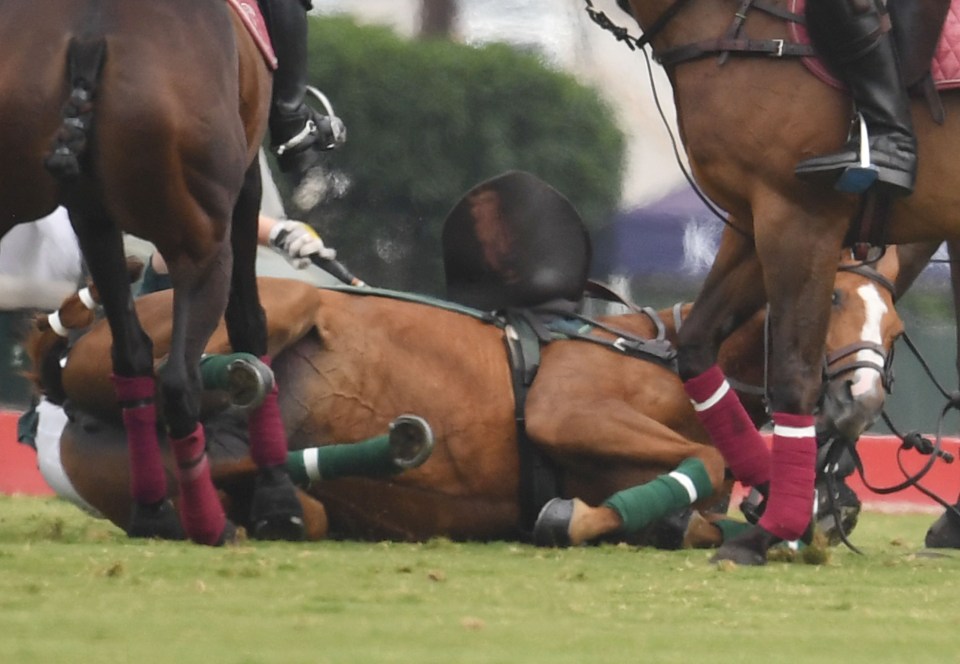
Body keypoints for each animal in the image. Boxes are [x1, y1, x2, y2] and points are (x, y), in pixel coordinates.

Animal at [0, 0, 300, 544]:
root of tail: (91, 37)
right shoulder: (244, 190)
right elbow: (249, 326)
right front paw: (277, 498)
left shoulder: (92, 217)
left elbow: (130, 353)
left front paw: (151, 509)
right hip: (203, 247)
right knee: (180, 380)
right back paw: (209, 523)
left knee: (140, 361)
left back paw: (161, 513)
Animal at [22, 252, 904, 548]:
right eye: (830, 299)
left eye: (893, 327)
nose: (856, 400)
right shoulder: (566, 408)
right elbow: (708, 460)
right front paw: (573, 516)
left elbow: (695, 511)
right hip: (263, 310)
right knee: (163, 371)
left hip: (189, 481)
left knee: (279, 492)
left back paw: (381, 449)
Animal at [620, 0, 960, 564]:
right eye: (836, 298)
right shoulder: (751, 220)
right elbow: (697, 347)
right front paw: (799, 502)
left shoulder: (799, 216)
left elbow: (795, 379)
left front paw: (771, 529)